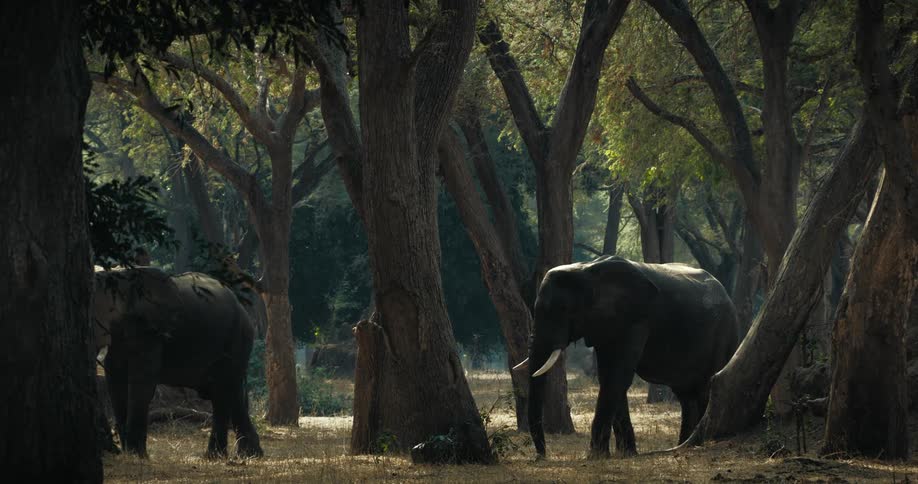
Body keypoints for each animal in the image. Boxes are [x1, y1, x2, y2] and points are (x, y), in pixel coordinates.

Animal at [93, 267, 263, 459]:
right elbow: (115, 377)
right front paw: (129, 454)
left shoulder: (151, 331)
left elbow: (143, 381)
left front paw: (138, 455)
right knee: (231, 391)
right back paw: (248, 455)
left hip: (237, 339)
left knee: (223, 389)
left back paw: (219, 456)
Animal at [514, 255, 739, 458]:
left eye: (563, 310)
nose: (541, 456)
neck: (587, 269)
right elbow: (609, 376)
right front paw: (626, 454)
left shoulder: (636, 320)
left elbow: (617, 376)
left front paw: (596, 456)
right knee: (685, 395)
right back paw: (682, 445)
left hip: (724, 332)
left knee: (705, 387)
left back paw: (695, 444)